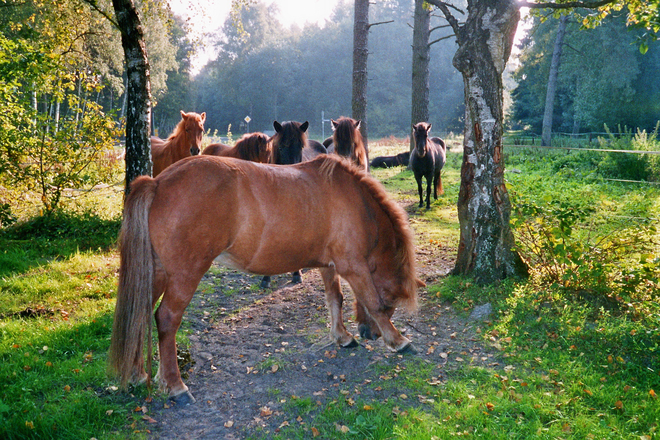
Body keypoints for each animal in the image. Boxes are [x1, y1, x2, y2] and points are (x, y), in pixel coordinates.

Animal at [108, 155, 422, 402]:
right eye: (393, 299)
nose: (371, 334)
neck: (354, 201)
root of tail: (157, 183)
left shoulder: (328, 265)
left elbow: (336, 299)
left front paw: (342, 336)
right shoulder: (353, 266)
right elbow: (371, 301)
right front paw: (398, 340)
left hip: (158, 272)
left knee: (139, 313)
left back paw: (137, 374)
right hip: (185, 275)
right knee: (166, 319)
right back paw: (175, 387)